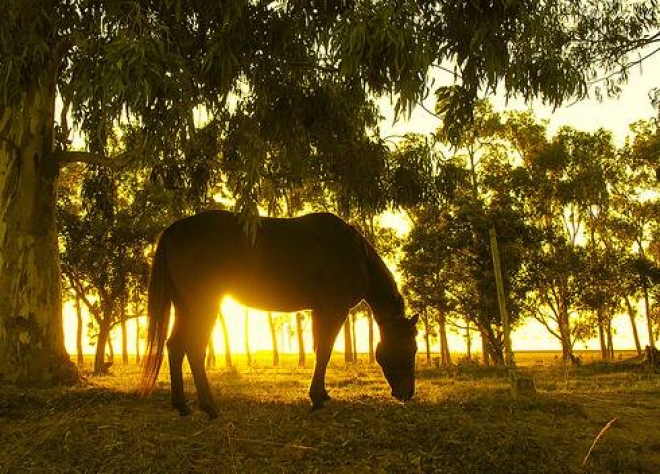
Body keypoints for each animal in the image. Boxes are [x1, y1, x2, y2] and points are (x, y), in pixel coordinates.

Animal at [140, 210, 418, 418]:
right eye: (411, 348)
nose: (408, 394)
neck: (355, 253)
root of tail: (176, 229)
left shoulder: (320, 311)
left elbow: (319, 351)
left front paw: (320, 394)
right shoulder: (334, 309)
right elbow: (325, 351)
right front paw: (317, 398)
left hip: (184, 305)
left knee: (175, 346)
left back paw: (182, 406)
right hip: (203, 304)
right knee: (194, 348)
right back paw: (209, 407)